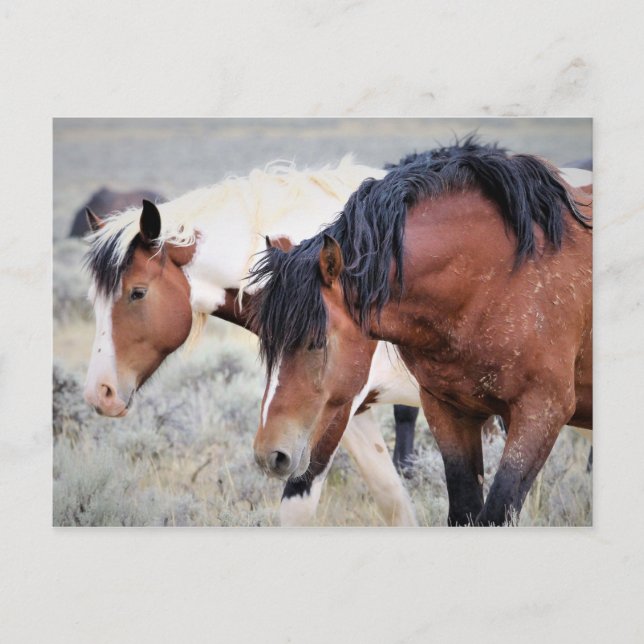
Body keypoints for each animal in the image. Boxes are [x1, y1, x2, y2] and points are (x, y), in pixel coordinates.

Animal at [249, 139, 592, 526]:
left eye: (317, 342)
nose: (270, 454)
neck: (496, 282)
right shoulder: (448, 411)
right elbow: (463, 511)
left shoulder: (541, 414)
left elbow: (494, 512)